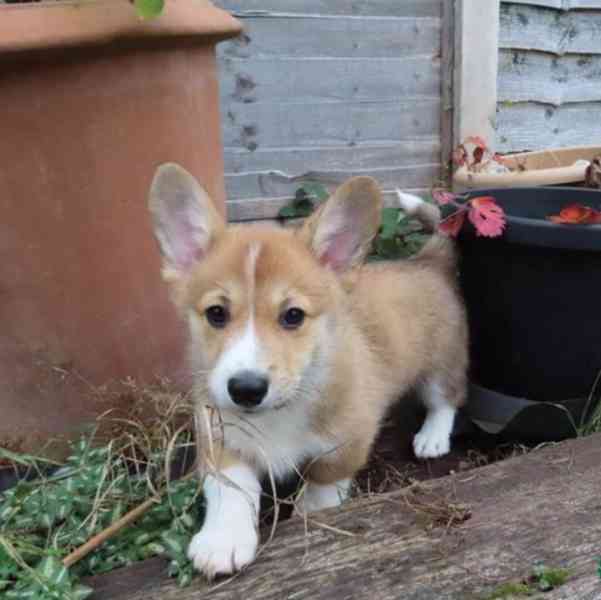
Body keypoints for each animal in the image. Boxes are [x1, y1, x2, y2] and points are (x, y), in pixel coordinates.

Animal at [148, 163, 466, 576]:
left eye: (293, 316)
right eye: (216, 313)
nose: (246, 389)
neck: (280, 411)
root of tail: (425, 262)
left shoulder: (348, 439)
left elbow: (323, 480)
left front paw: (309, 512)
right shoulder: (219, 435)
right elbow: (231, 486)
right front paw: (223, 540)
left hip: (440, 365)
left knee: (446, 398)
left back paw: (432, 438)